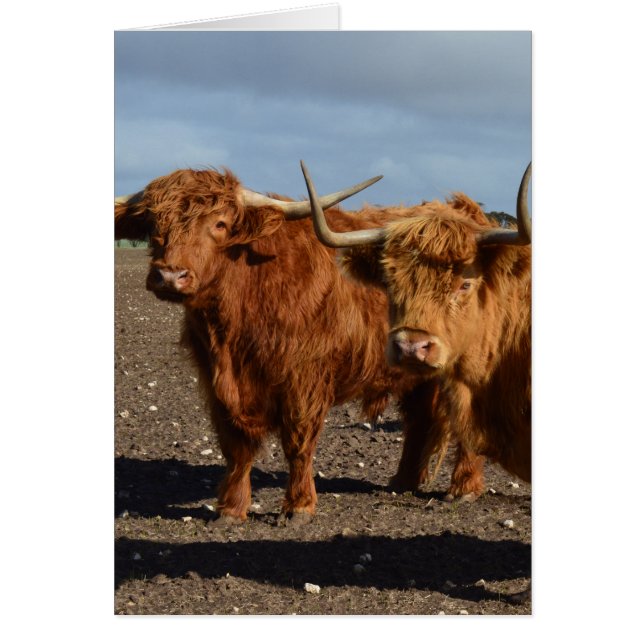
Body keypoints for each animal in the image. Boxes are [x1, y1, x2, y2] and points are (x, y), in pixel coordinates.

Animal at [115, 167, 475, 526]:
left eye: (219, 223)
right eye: (153, 224)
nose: (169, 276)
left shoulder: (305, 380)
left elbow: (298, 442)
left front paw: (299, 506)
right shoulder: (216, 382)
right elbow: (236, 447)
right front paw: (231, 508)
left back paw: (464, 488)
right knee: (419, 420)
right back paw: (403, 481)